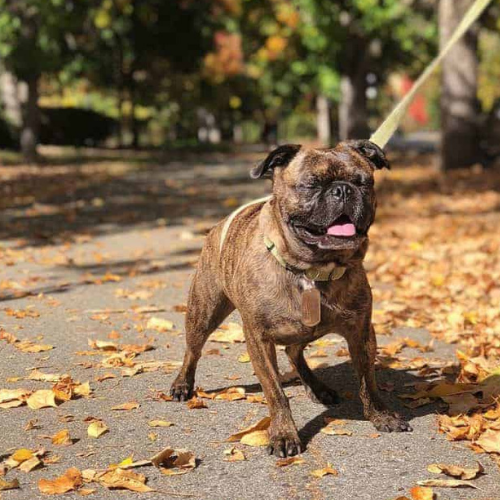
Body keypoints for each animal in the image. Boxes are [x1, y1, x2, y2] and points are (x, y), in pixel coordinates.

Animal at [170, 140, 412, 458]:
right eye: (311, 184)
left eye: (363, 182)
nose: (343, 190)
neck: (312, 270)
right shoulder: (258, 339)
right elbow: (276, 392)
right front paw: (284, 433)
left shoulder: (361, 332)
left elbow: (367, 381)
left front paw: (381, 415)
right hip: (204, 312)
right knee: (193, 351)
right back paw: (182, 384)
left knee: (294, 352)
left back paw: (318, 387)